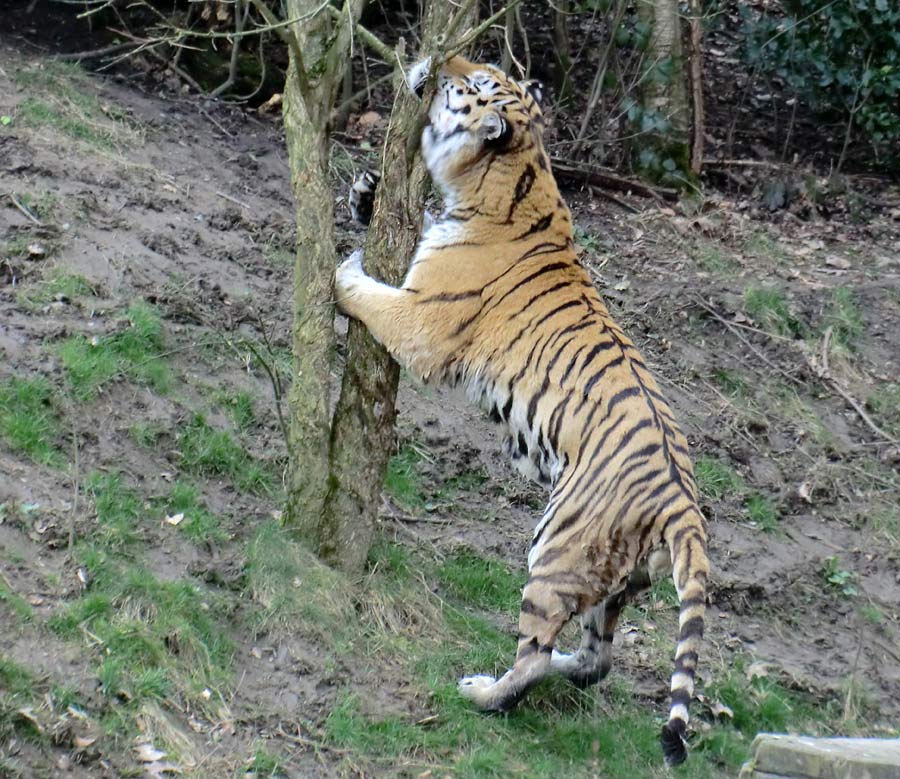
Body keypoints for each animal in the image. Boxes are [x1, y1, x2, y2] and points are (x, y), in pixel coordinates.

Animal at [334, 56, 708, 768]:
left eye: (471, 85)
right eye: (483, 71)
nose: (439, 62)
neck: (516, 172)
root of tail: (684, 504)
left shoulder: (422, 324)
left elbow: (373, 297)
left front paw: (343, 274)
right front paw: (366, 192)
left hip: (557, 549)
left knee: (534, 652)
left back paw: (483, 694)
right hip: (617, 586)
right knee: (596, 660)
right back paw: (556, 670)